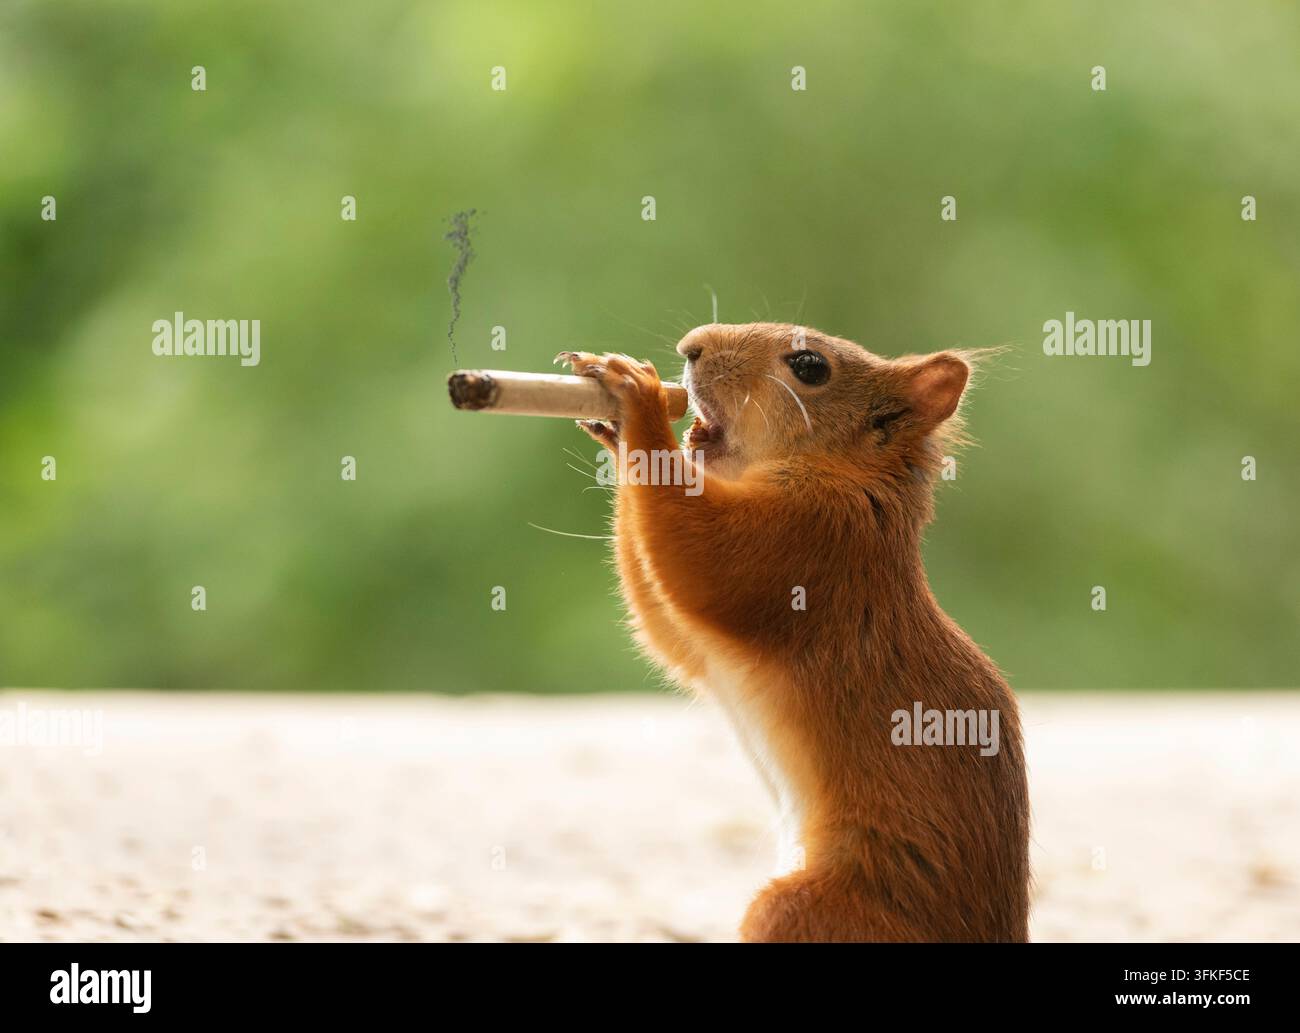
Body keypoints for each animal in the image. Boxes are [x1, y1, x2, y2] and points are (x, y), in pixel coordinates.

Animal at [559, 322, 1029, 943]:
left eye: (809, 367)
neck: (853, 479)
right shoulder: (705, 648)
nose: (691, 346)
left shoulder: (809, 544)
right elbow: (665, 626)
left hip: (810, 911)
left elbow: (699, 557)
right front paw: (614, 422)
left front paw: (638, 397)